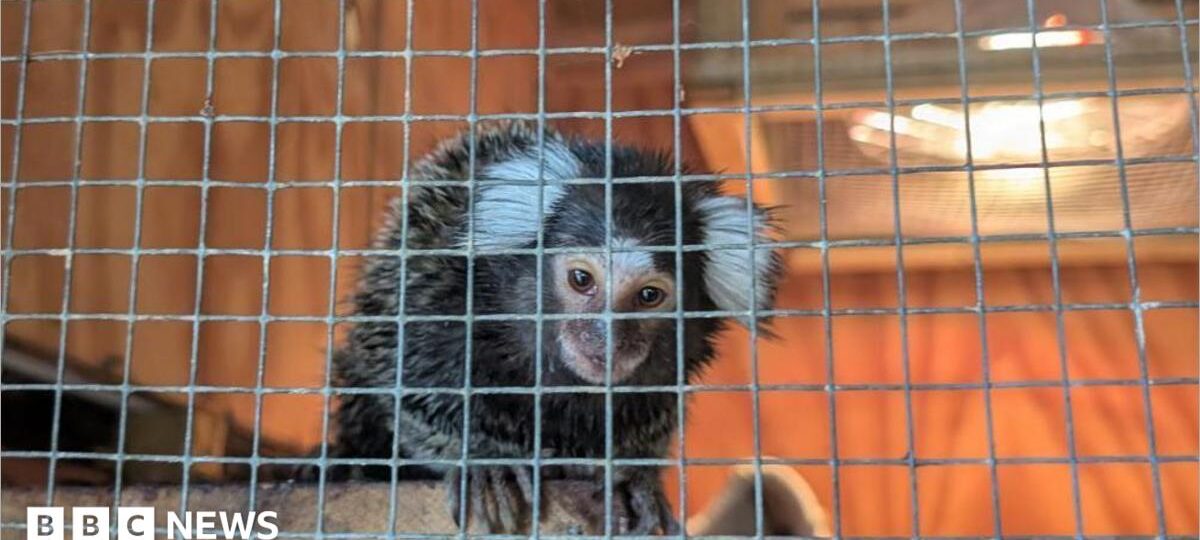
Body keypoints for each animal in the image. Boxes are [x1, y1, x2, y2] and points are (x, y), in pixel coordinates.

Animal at [328, 121, 782, 535]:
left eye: (649, 295)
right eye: (581, 279)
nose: (606, 340)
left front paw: (630, 476)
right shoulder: (434, 294)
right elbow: (413, 393)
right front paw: (484, 461)